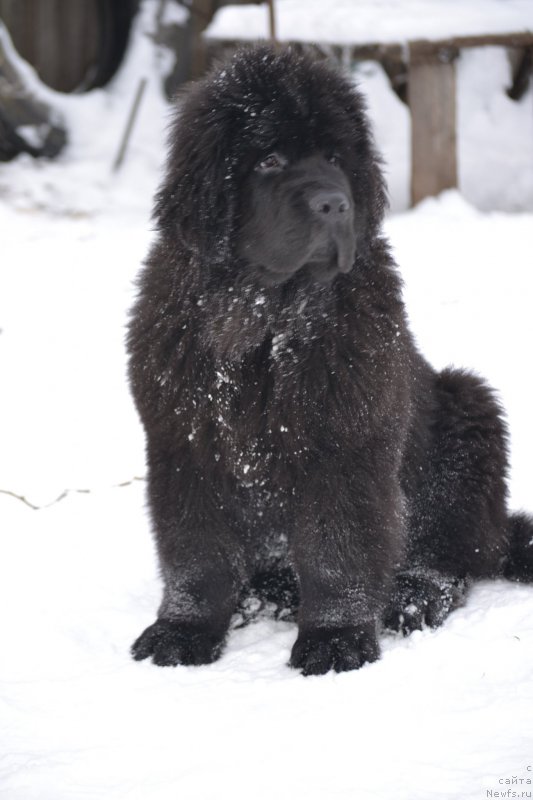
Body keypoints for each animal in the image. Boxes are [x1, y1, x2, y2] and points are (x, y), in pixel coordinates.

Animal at [125, 45, 532, 676]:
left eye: (336, 159)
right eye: (269, 159)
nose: (335, 204)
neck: (267, 320)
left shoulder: (344, 446)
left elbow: (337, 548)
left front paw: (336, 641)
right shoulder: (185, 445)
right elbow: (196, 552)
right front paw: (183, 630)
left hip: (468, 412)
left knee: (455, 557)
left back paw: (411, 597)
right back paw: (265, 596)